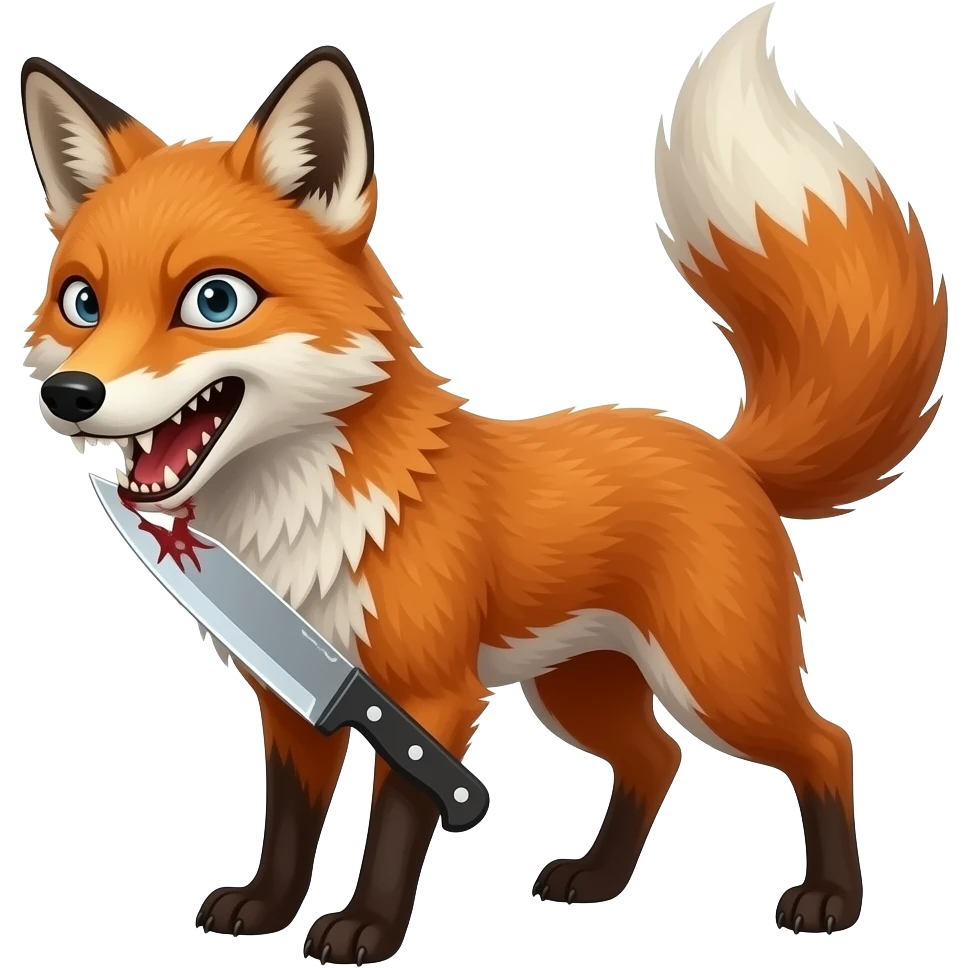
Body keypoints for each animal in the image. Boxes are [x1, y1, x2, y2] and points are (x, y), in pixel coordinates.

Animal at [19, 6, 947, 961]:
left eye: (213, 302)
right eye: (82, 304)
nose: (70, 396)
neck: (298, 522)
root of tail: (724, 453)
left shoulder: (427, 698)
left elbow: (399, 818)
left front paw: (366, 929)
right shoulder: (299, 702)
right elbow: (290, 821)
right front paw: (268, 910)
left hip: (717, 680)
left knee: (825, 745)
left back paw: (830, 898)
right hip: (579, 688)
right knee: (657, 760)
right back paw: (597, 880)